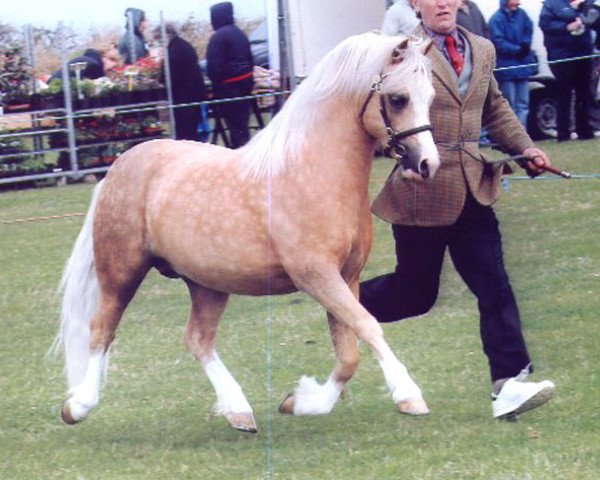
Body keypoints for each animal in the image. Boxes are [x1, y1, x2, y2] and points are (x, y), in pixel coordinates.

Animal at [55, 32, 440, 432]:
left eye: (430, 97)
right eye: (398, 98)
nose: (428, 164)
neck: (314, 172)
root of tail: (118, 168)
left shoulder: (347, 278)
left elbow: (349, 355)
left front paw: (301, 402)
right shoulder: (316, 276)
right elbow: (368, 326)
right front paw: (408, 395)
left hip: (206, 283)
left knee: (198, 340)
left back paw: (238, 410)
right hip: (121, 272)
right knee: (102, 330)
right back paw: (78, 406)